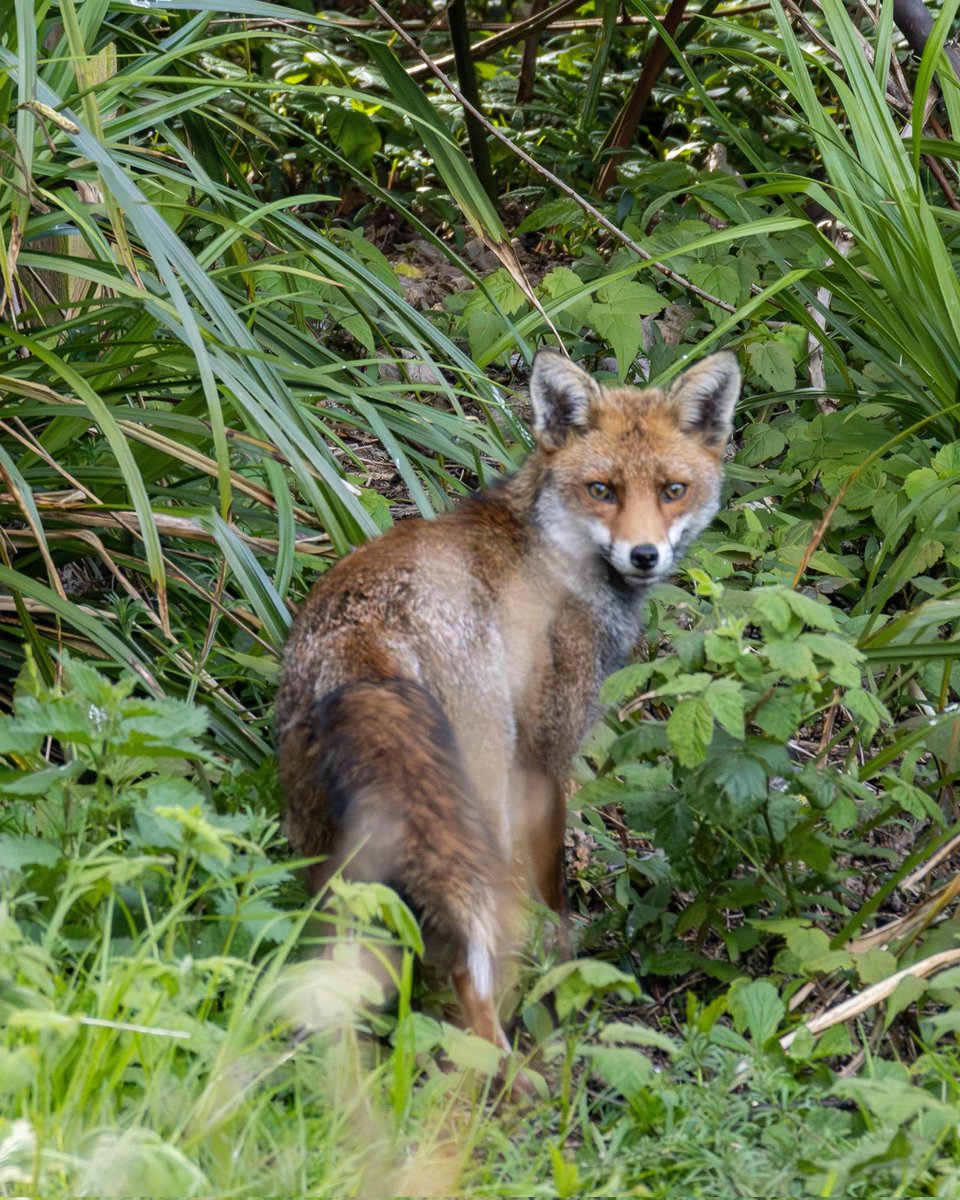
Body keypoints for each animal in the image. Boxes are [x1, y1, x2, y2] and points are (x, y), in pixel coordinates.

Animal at [276, 347, 740, 1059]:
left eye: (672, 490)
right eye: (602, 490)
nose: (644, 554)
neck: (554, 551)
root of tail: (362, 634)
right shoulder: (545, 759)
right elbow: (552, 892)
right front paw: (564, 977)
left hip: (337, 857)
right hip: (481, 794)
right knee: (470, 966)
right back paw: (505, 1066)